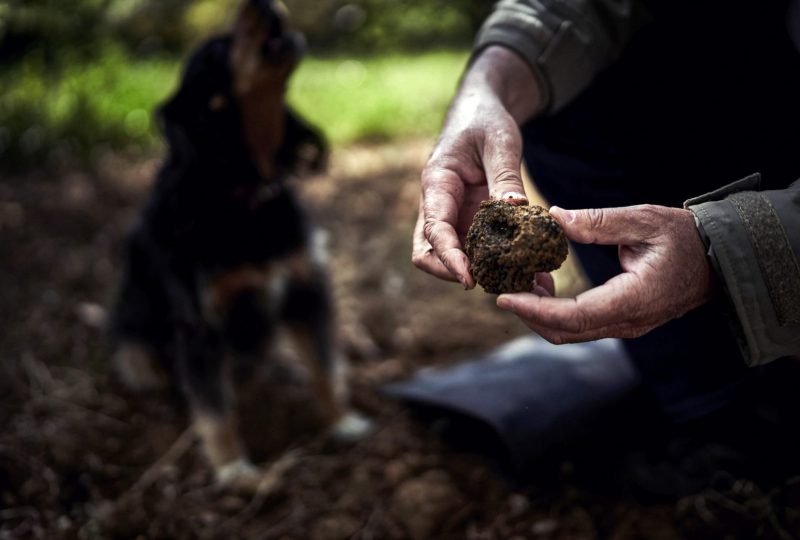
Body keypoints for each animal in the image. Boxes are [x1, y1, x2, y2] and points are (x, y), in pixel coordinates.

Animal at [110, 0, 372, 490]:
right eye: (215, 51)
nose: (262, 4)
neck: (245, 189)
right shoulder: (200, 322)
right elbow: (216, 408)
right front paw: (235, 471)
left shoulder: (305, 290)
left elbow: (326, 369)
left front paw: (343, 423)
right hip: (132, 345)